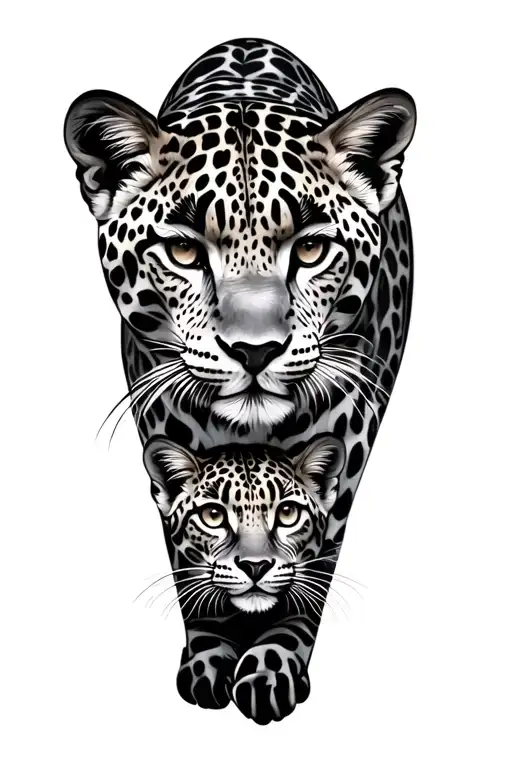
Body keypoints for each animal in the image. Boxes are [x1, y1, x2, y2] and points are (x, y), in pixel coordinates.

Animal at [143, 433, 345, 724]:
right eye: (213, 516)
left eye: (288, 512)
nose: (255, 565)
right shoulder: (198, 606)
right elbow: (203, 635)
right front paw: (206, 671)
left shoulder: (306, 604)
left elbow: (286, 635)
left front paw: (265, 680)